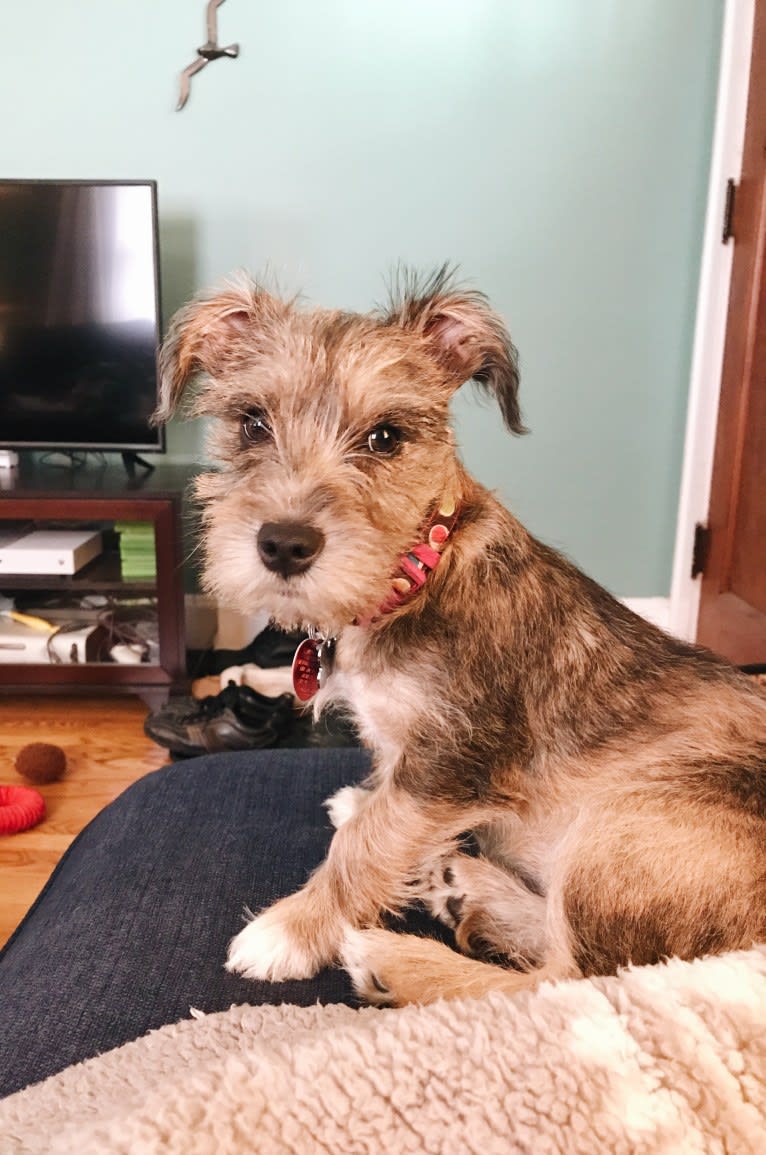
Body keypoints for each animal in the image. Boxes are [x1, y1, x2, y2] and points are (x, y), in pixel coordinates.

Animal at [156, 267, 766, 1006]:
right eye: (251, 423)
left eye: (386, 437)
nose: (284, 545)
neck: (416, 576)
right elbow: (380, 809)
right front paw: (365, 805)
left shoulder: (452, 758)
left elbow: (365, 843)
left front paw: (293, 928)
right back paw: (464, 884)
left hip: (627, 829)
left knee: (572, 978)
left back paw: (393, 955)